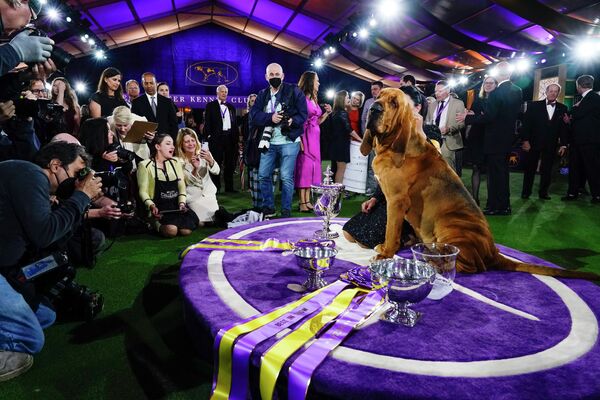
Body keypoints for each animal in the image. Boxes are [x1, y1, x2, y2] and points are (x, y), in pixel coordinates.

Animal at [364, 89, 596, 280]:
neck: (390, 143)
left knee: (471, 266)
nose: (374, 108)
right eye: (379, 97)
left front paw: (385, 253)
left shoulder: (396, 201)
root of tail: (493, 251)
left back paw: (432, 260)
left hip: (448, 225)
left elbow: (391, 230)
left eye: (394, 103)